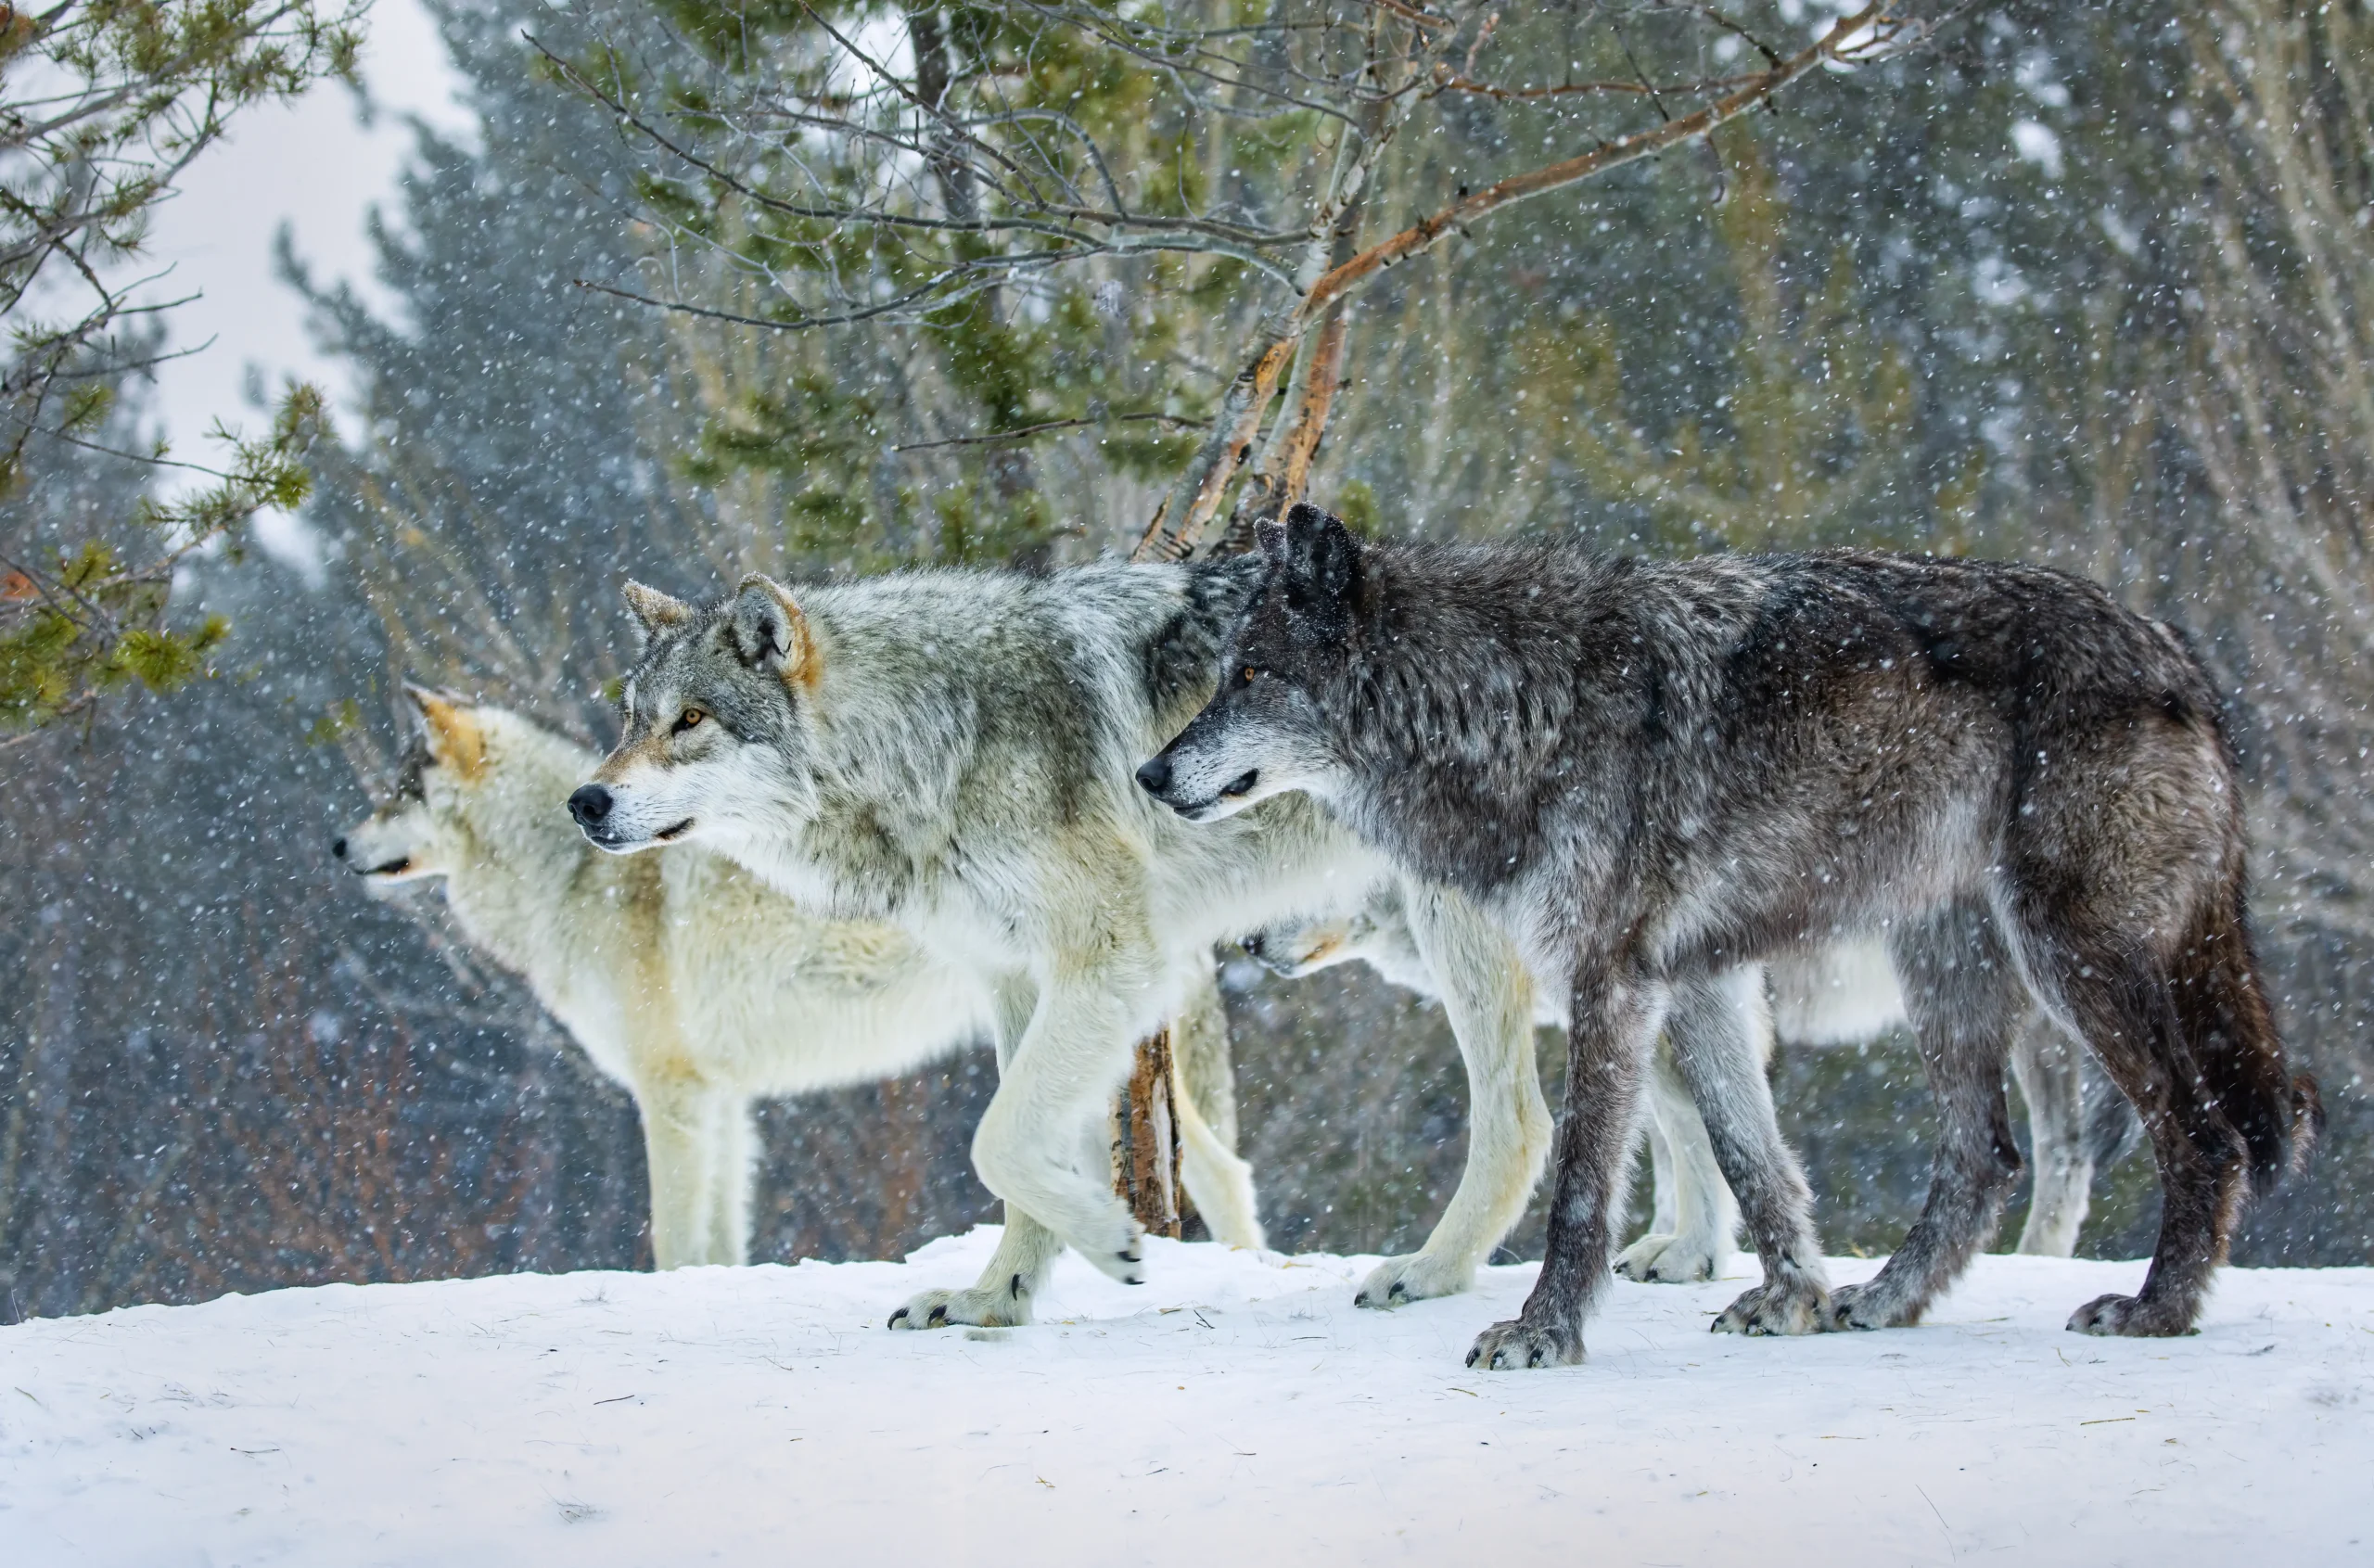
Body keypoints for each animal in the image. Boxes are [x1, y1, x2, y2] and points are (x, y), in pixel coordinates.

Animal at [334, 686, 1265, 1268]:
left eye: (398, 792)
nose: (338, 845)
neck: (571, 877)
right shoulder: (722, 1103)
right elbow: (717, 1245)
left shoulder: (671, 1096)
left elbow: (673, 1239)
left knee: (1224, 1173)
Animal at [568, 567, 1552, 1328]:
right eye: (630, 719)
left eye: (691, 720)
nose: (584, 800)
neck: (934, 738)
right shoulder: (1018, 977)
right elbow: (1022, 1150)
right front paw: (995, 1298)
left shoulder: (1113, 957)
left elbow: (996, 1139)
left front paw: (1111, 1239)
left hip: (1453, 927)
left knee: (1520, 1119)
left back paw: (1430, 1273)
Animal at [1244, 893, 2140, 1278]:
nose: (1248, 943)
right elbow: (1682, 1139)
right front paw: (1679, 1244)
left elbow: (1705, 1135)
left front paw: (1696, 1253)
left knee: (2066, 1153)